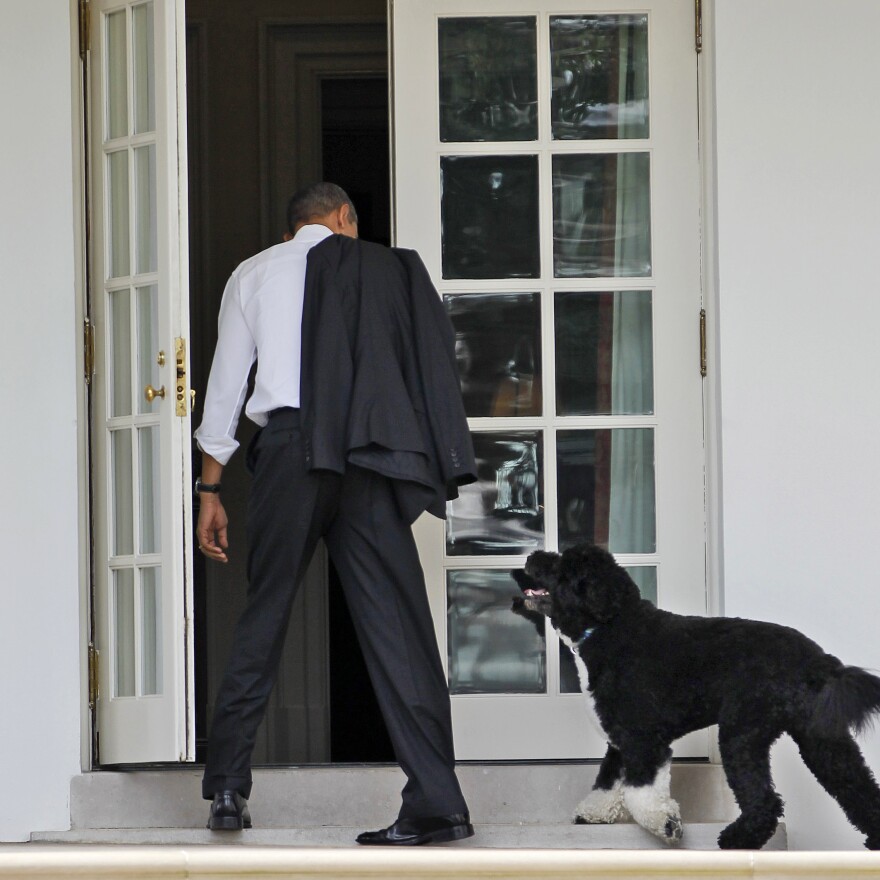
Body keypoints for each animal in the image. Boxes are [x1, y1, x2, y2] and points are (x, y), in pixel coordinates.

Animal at [512, 540, 880, 848]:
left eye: (563, 567)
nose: (530, 556)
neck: (610, 628)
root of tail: (817, 660)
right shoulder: (620, 738)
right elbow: (607, 781)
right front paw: (594, 814)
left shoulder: (643, 740)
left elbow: (641, 793)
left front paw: (666, 824)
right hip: (822, 737)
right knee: (857, 786)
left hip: (742, 733)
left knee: (766, 801)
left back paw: (737, 840)